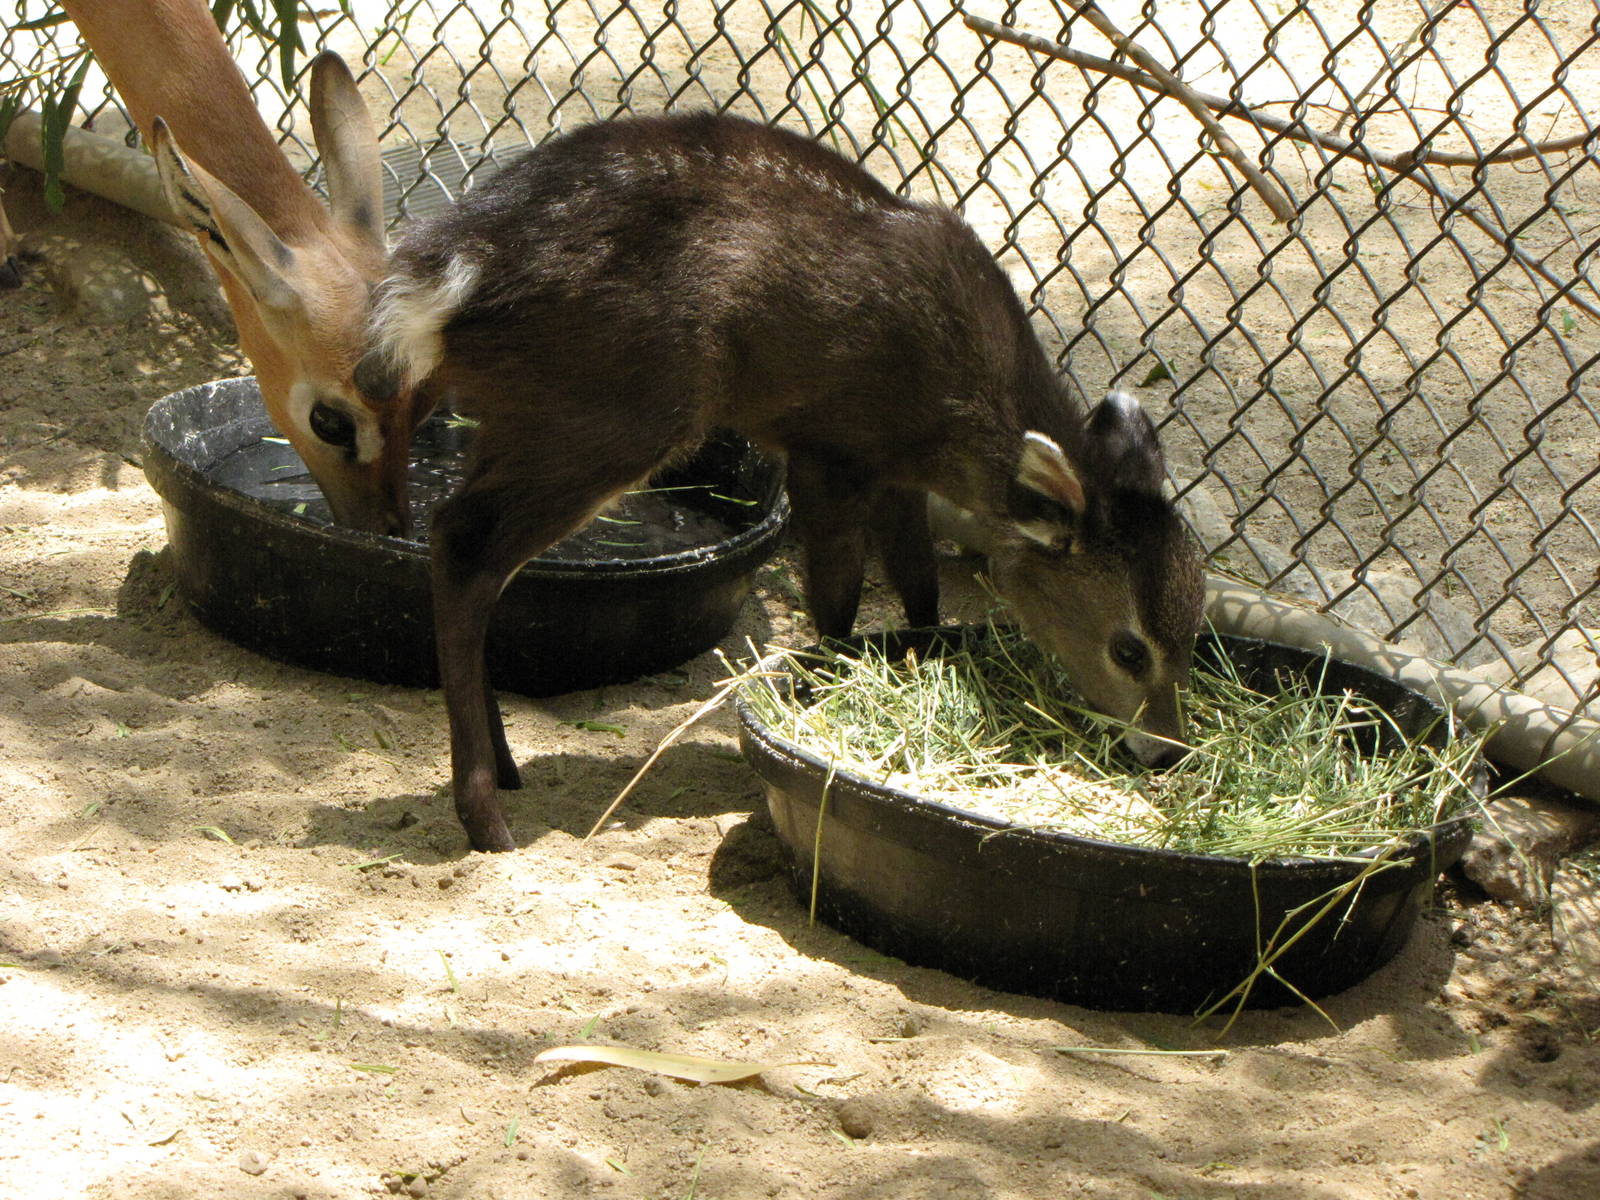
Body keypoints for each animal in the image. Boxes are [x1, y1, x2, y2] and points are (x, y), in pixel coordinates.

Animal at [359, 112, 1207, 853]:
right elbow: (836, 599)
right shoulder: (827, 447)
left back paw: (505, 770)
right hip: (620, 407)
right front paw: (826, 689)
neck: (955, 393)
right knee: (465, 543)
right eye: (1129, 649)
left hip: (520, 413)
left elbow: (921, 586)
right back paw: (485, 818)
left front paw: (919, 658)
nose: (1169, 748)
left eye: (1194, 632)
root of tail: (447, 274)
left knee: (468, 544)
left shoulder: (893, 472)